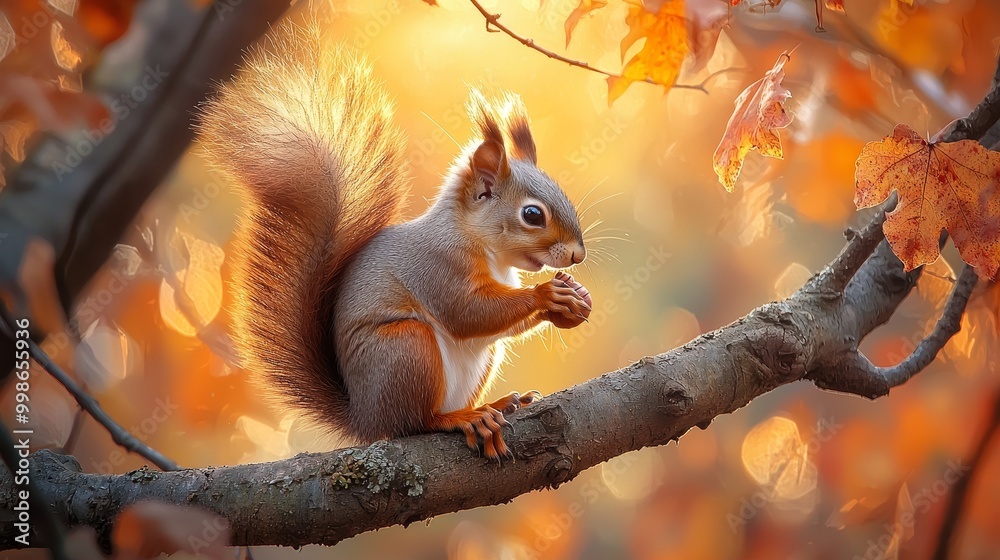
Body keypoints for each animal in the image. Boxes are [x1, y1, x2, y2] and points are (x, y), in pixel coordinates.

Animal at [196, 21, 592, 459]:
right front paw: (547, 294)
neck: (482, 245)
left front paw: (572, 301)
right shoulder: (437, 266)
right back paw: (462, 418)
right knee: (415, 422)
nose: (578, 255)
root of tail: (366, 420)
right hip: (405, 349)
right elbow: (467, 312)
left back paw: (499, 403)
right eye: (532, 215)